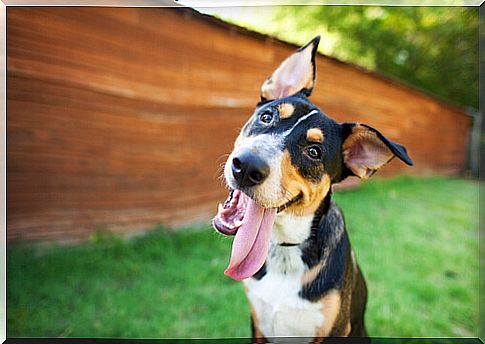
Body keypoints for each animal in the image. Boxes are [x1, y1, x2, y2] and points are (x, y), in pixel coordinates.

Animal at [212, 36, 412, 340]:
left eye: (314, 151)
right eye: (267, 117)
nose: (245, 167)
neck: (286, 249)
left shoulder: (334, 331)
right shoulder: (257, 321)